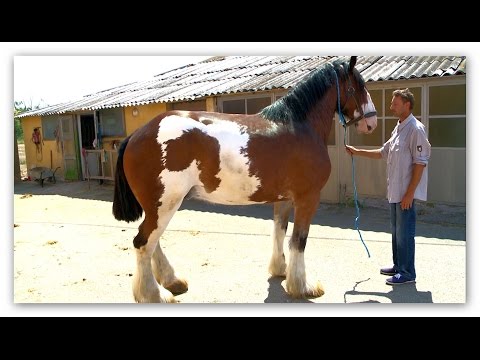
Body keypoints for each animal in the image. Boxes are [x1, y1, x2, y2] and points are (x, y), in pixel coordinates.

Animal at [113, 56, 378, 302]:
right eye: (360, 85)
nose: (372, 121)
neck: (299, 126)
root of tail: (137, 135)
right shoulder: (307, 199)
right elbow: (299, 241)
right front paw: (302, 287)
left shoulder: (284, 199)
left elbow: (279, 231)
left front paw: (280, 271)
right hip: (164, 204)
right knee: (143, 243)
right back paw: (154, 295)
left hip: (160, 207)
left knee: (152, 242)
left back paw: (172, 281)